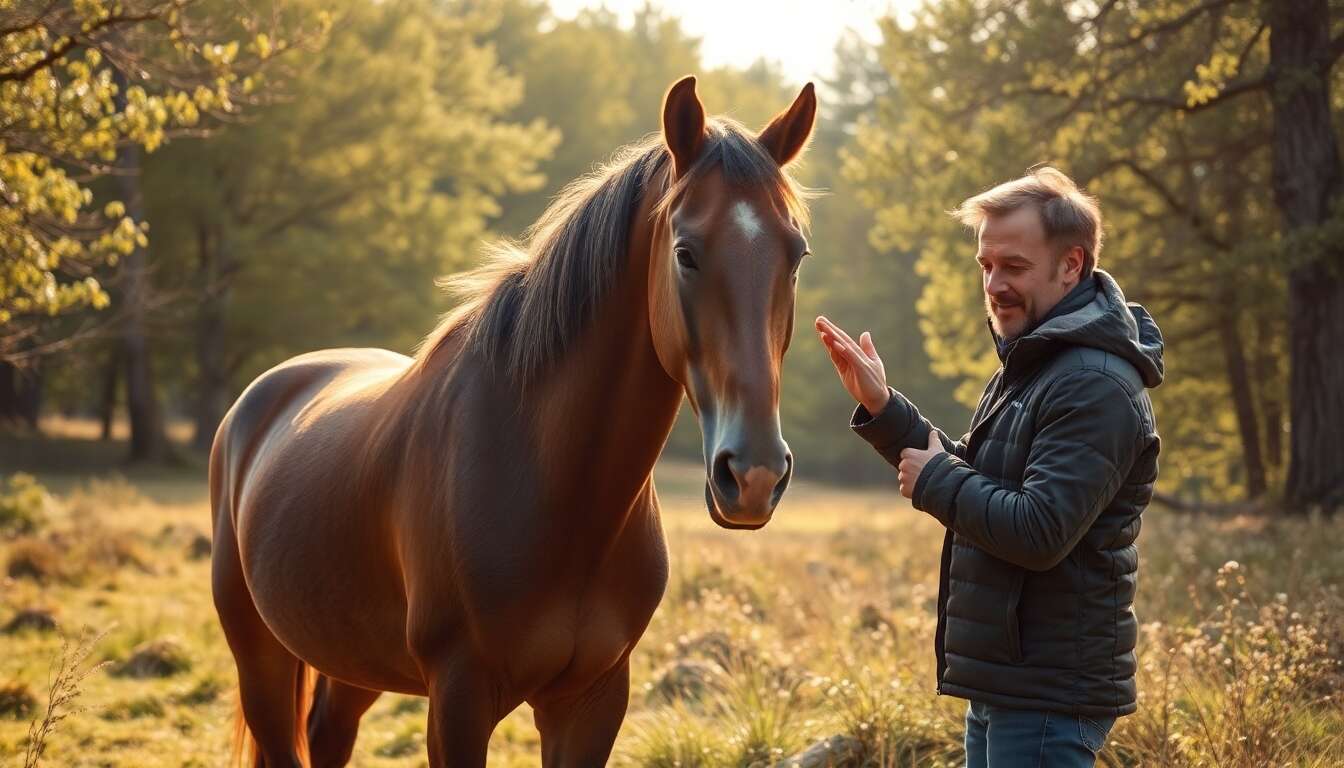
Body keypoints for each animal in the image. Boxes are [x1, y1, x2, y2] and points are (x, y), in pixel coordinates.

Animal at [210, 75, 817, 767]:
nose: (754, 476)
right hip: (260, 659)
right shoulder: (458, 702)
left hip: (350, 662)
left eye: (796, 254)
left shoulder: (591, 702)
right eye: (686, 253)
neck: (557, 489)